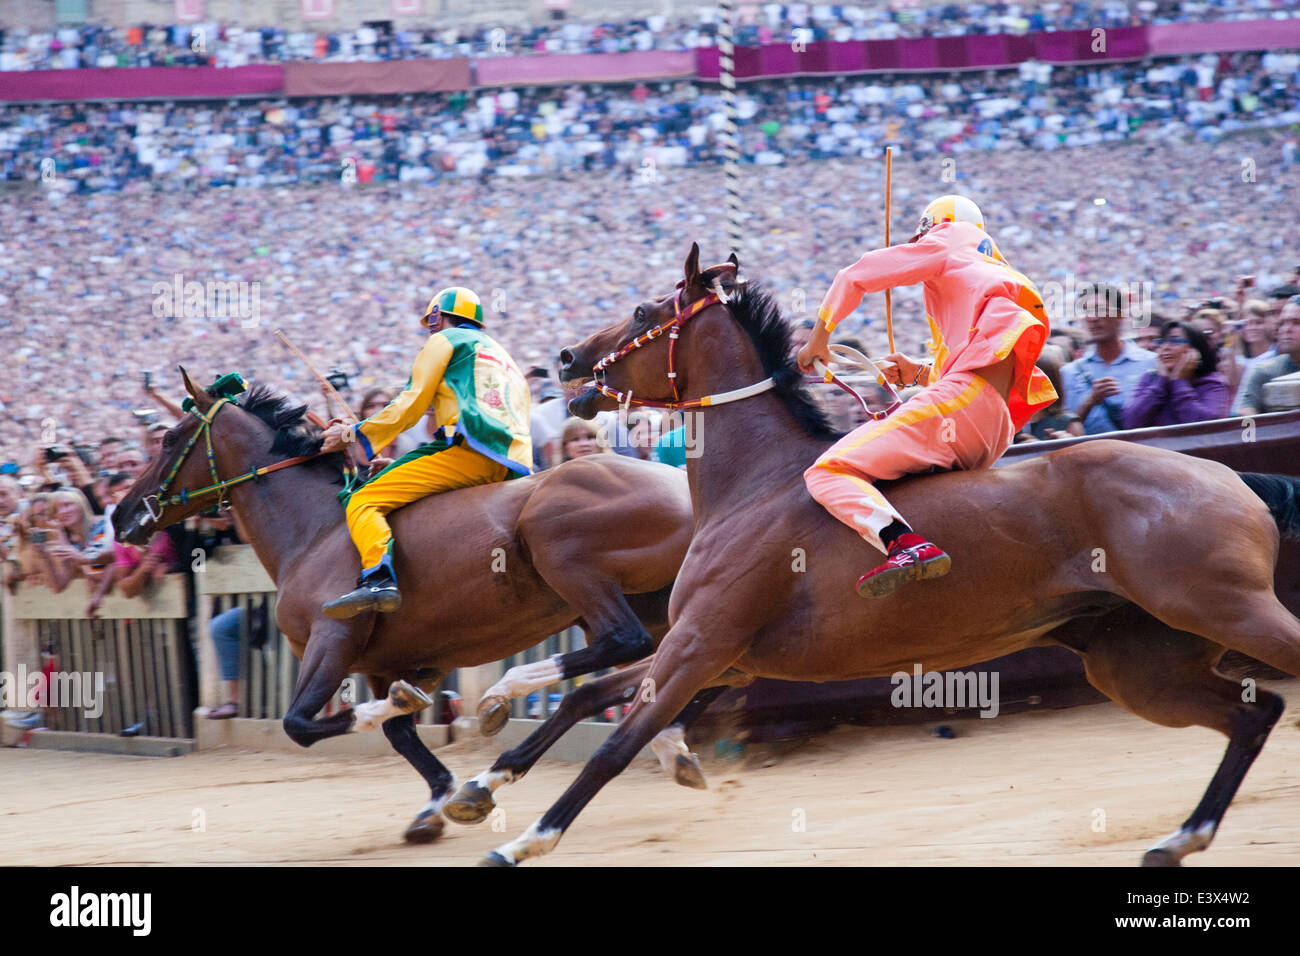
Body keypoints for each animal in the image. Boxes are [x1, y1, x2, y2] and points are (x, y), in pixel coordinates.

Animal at [114, 369, 702, 842]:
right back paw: (663, 746)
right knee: (652, 671)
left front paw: (409, 710)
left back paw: (504, 697)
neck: (315, 532)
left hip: (569, 562)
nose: (121, 515)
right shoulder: (386, 659)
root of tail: (685, 485)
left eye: (169, 438)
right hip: (654, 604)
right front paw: (437, 799)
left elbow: (301, 723)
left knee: (624, 644)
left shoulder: (333, 640)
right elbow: (399, 735)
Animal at [478, 244, 1300, 868]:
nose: (568, 357)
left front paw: (523, 840)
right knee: (1254, 713)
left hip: (1222, 607)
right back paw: (1180, 838)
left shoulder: (702, 644)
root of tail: (1231, 477)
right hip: (1140, 663)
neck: (755, 483)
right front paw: (480, 780)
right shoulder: (724, 656)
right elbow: (589, 695)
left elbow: (614, 745)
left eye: (648, 313)